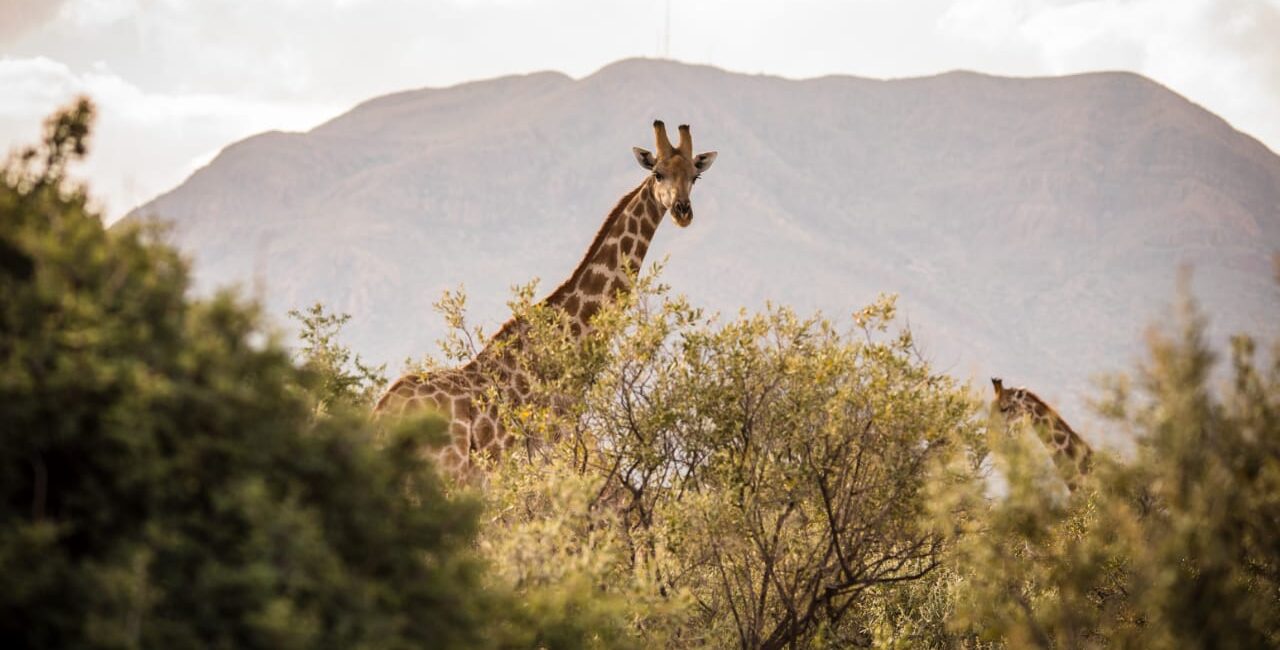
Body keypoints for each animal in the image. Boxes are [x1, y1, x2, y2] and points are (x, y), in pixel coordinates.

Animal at [373, 122, 721, 478]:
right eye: (657, 174)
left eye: (695, 176)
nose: (682, 212)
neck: (570, 336)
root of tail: (382, 416)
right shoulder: (556, 439)